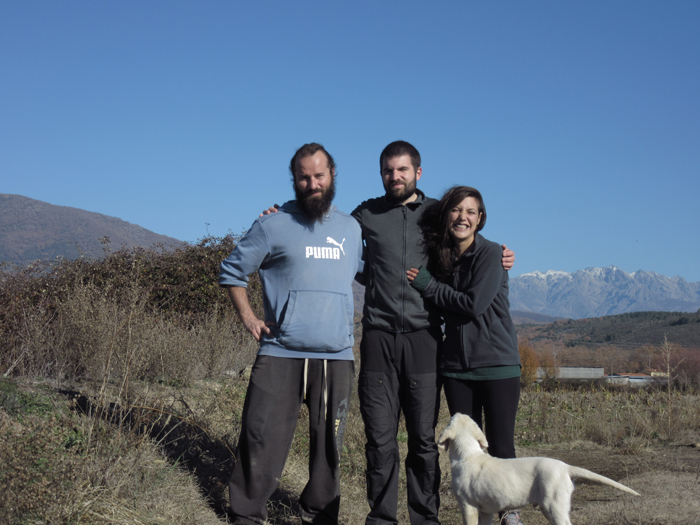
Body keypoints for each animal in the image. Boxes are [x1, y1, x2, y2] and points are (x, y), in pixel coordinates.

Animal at [438, 414, 640, 524]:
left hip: (554, 505)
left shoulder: (468, 506)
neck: (468, 454)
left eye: (452, 418)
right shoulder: (486, 511)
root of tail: (566, 467)